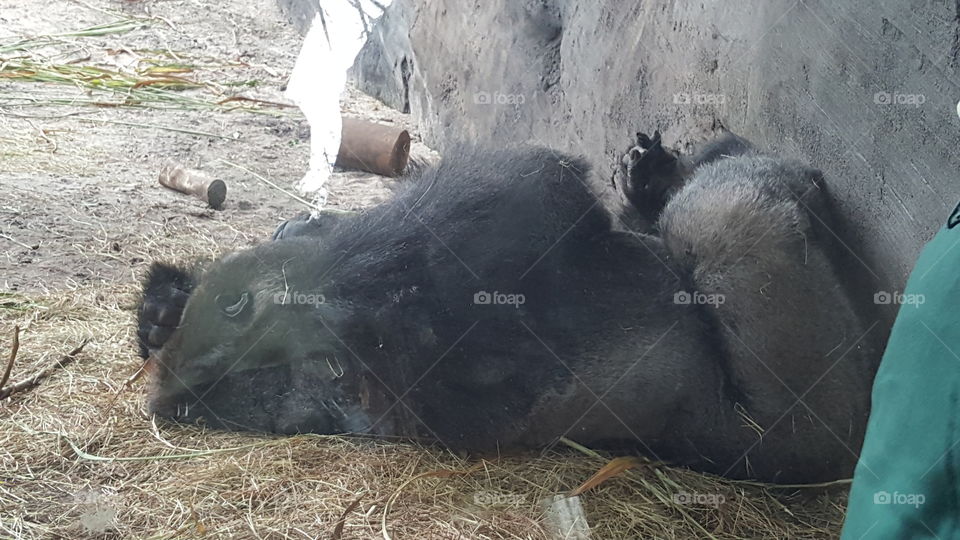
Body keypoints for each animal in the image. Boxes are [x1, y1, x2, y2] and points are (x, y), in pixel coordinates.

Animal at [135, 130, 876, 480]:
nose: (293, 230)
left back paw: (656, 183)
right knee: (725, 212)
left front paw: (162, 309)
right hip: (812, 404)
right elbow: (540, 182)